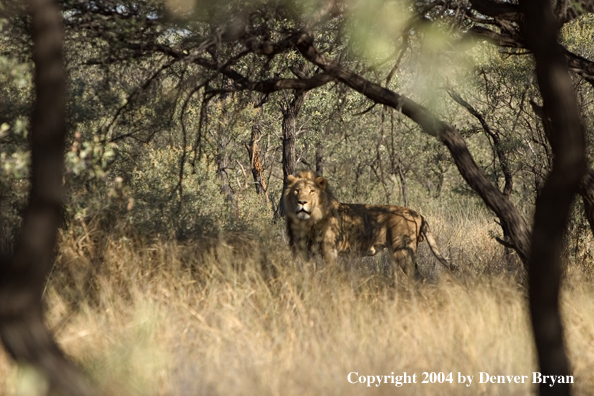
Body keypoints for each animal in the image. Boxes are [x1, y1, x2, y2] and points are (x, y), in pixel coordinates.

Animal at [280, 171, 448, 278]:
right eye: (296, 191)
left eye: (312, 191)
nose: (302, 202)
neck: (309, 221)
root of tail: (417, 213)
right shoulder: (306, 251)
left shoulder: (330, 250)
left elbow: (330, 273)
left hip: (403, 252)